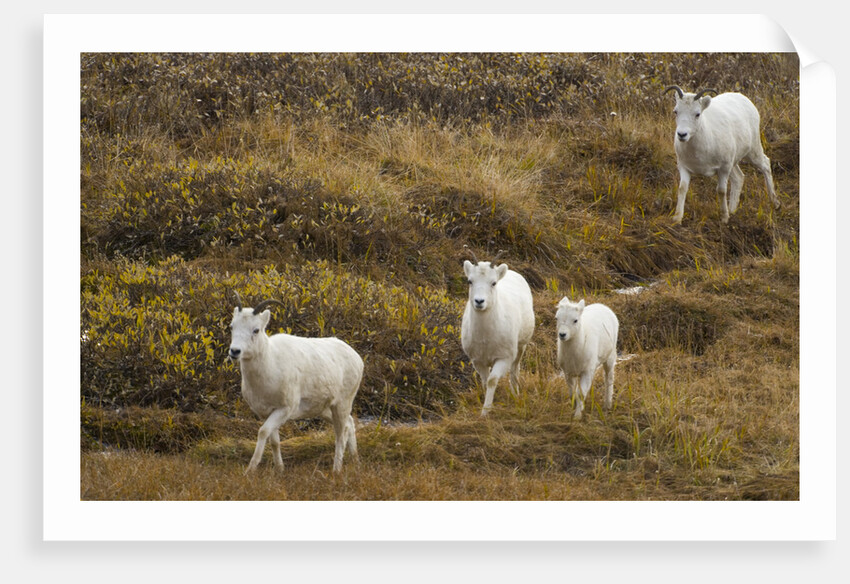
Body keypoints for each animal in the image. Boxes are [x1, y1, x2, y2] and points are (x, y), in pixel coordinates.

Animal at [227, 292, 363, 474]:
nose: (234, 351)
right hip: (325, 409)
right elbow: (274, 440)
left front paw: (250, 470)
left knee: (340, 434)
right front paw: (280, 470)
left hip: (342, 404)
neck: (270, 365)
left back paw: (336, 470)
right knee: (349, 423)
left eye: (256, 330)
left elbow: (263, 432)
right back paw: (355, 461)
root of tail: (357, 358)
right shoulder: (267, 412)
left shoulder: (284, 409)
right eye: (232, 326)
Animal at [461, 251, 535, 416]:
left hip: (521, 347)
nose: (479, 301)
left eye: (493, 283)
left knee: (514, 371)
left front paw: (485, 412)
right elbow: (484, 381)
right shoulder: (478, 361)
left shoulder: (504, 358)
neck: (485, 337)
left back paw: (515, 394)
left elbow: (492, 380)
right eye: (470, 281)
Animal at [664, 85, 781, 224]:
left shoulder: (724, 169)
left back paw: (775, 203)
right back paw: (732, 210)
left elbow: (721, 191)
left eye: (697, 114)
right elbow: (682, 188)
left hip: (753, 152)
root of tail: (745, 100)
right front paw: (677, 219)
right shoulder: (684, 167)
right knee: (739, 178)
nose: (682, 135)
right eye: (676, 111)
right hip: (734, 162)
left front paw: (724, 218)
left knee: (765, 164)